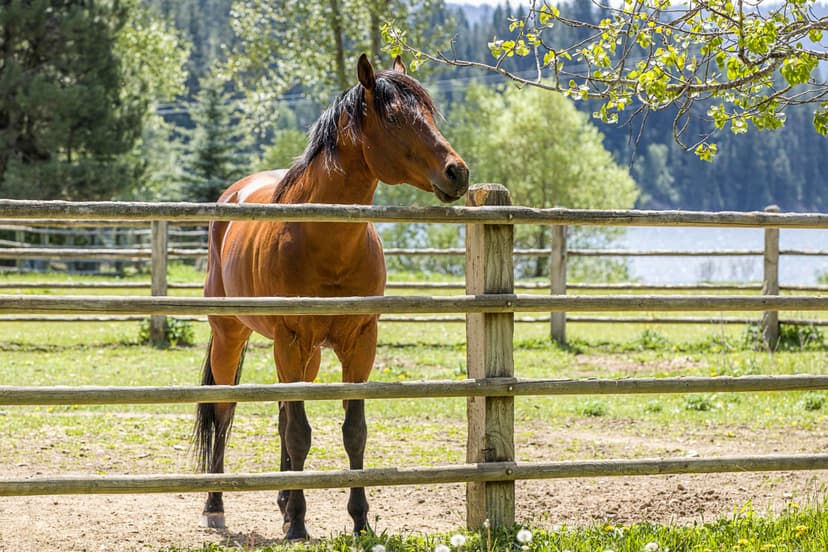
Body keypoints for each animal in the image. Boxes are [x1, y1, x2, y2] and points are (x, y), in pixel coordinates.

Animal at [193, 54, 469, 540]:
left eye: (430, 114)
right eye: (394, 117)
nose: (457, 171)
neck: (326, 240)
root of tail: (232, 195)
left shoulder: (358, 344)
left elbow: (351, 430)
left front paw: (358, 520)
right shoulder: (290, 340)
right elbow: (300, 432)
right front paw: (299, 525)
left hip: (308, 357)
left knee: (282, 414)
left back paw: (284, 500)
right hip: (233, 337)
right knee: (224, 412)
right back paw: (216, 507)